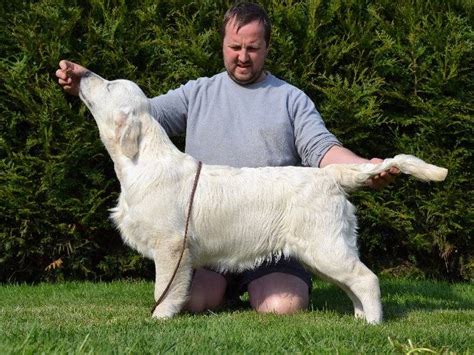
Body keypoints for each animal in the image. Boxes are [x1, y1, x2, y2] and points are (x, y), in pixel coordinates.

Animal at [78, 71, 448, 324]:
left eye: (108, 86)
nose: (81, 74)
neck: (142, 160)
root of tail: (328, 174)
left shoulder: (171, 247)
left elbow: (164, 291)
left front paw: (159, 318)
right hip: (326, 251)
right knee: (353, 283)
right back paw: (358, 318)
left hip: (325, 247)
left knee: (366, 279)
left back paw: (372, 322)